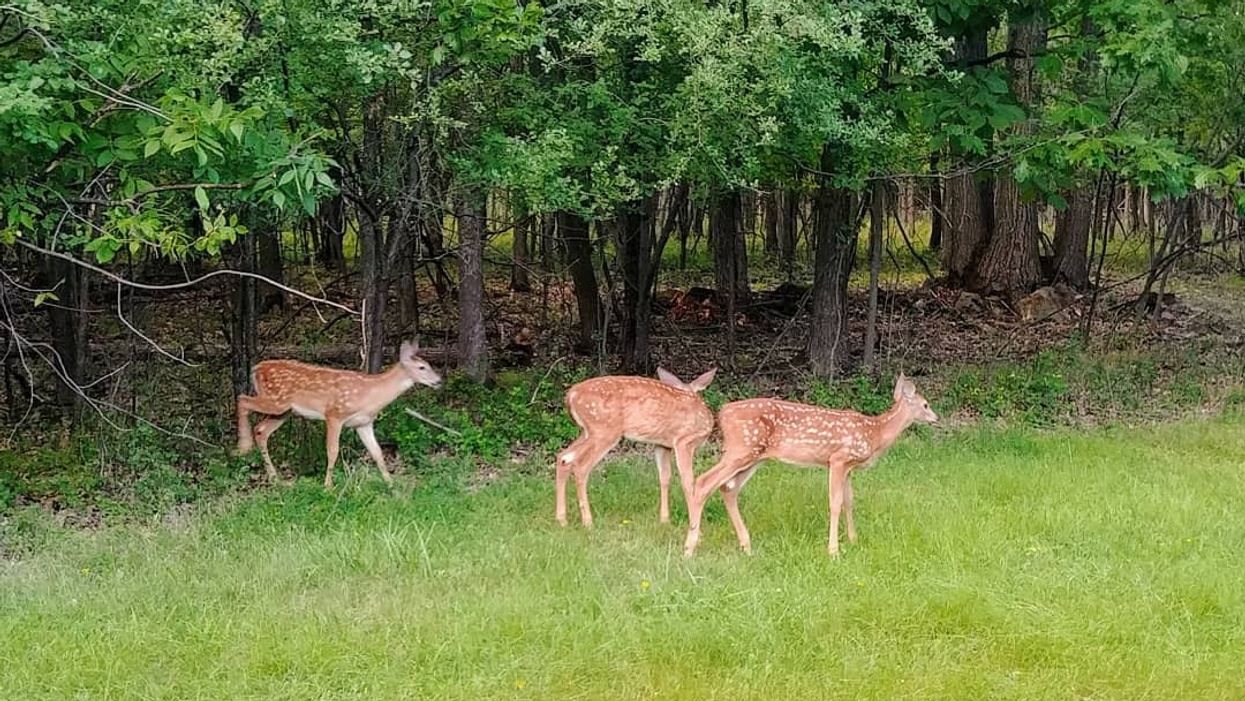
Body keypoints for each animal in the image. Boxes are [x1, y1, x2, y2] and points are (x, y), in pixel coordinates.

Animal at [235, 340, 442, 488]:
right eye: (422, 368)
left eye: (429, 364)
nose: (439, 381)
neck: (370, 395)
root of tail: (256, 369)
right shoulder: (334, 414)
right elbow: (332, 451)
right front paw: (328, 486)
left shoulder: (363, 423)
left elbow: (377, 452)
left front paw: (392, 486)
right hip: (276, 401)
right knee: (242, 399)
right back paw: (244, 447)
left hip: (284, 411)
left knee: (261, 430)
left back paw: (275, 478)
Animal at [555, 368, 717, 527]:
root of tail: (571, 395)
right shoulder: (684, 441)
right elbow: (688, 481)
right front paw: (694, 523)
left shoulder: (662, 445)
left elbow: (664, 477)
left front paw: (664, 519)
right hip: (604, 431)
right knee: (580, 466)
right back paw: (587, 521)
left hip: (587, 432)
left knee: (563, 457)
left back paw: (562, 520)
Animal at [682, 374, 937, 557]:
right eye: (926, 404)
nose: (936, 418)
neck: (875, 432)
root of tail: (722, 413)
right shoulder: (838, 459)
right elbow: (835, 503)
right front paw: (833, 550)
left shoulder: (849, 467)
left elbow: (849, 501)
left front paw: (853, 540)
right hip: (741, 449)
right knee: (703, 482)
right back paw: (690, 547)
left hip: (753, 456)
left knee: (728, 489)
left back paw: (746, 545)